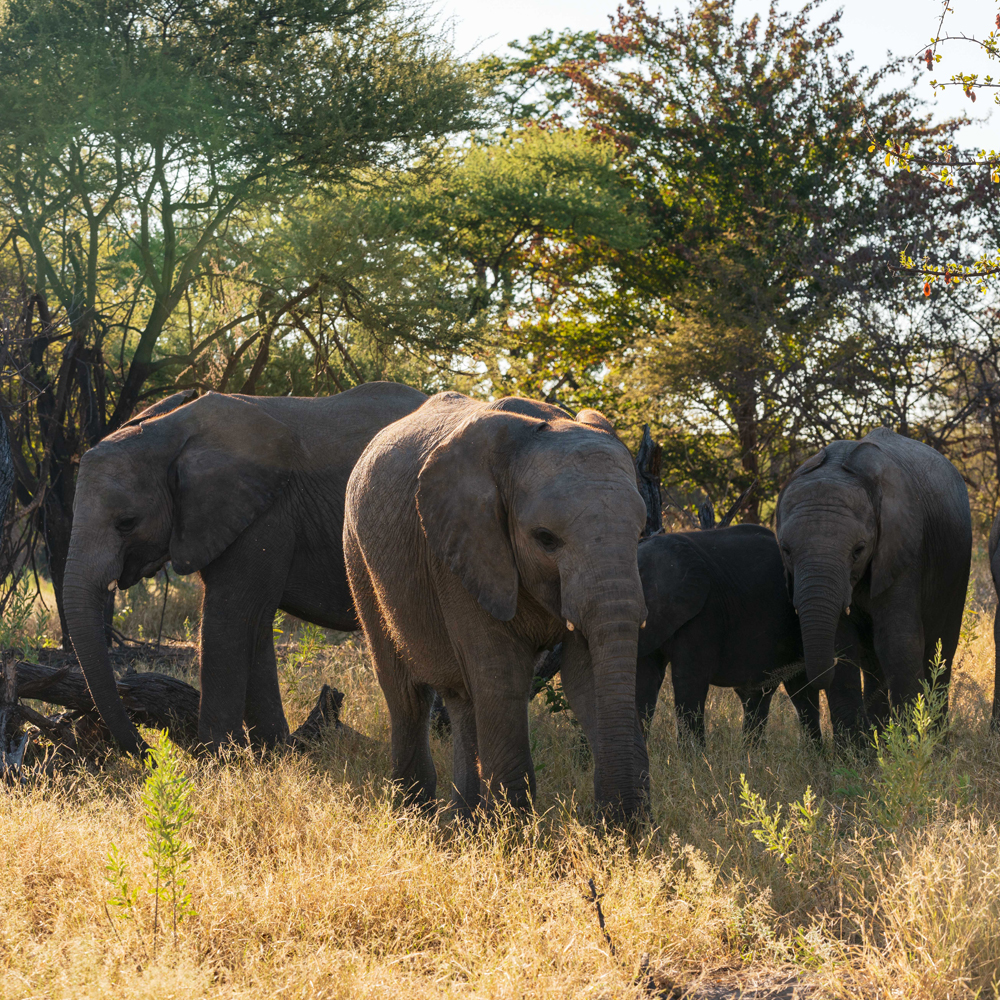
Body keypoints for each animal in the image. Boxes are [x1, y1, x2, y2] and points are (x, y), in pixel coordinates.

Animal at [63, 382, 426, 756]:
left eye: (127, 522)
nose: (147, 751)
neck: (172, 430)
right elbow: (256, 623)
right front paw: (273, 752)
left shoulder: (267, 512)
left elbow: (231, 618)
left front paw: (218, 757)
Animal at [344, 390, 652, 820]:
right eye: (545, 538)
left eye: (641, 533)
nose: (614, 821)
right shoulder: (460, 550)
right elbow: (501, 677)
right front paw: (516, 834)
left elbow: (585, 675)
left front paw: (621, 829)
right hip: (358, 554)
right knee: (406, 692)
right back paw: (414, 816)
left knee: (462, 697)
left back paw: (464, 821)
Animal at [632, 528, 820, 748]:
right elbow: (645, 679)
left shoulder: (704, 613)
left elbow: (689, 679)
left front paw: (693, 756)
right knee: (761, 694)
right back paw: (752, 753)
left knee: (800, 688)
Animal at [772, 422, 968, 736]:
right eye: (786, 550)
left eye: (859, 550)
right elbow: (843, 645)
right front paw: (857, 748)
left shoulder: (904, 549)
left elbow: (898, 643)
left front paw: (909, 741)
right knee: (872, 659)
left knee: (942, 645)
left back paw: (934, 738)